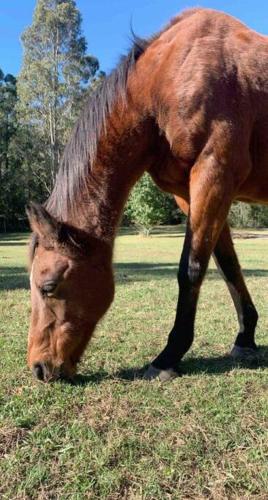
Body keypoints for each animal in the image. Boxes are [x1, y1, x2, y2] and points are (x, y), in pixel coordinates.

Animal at [26, 7, 266, 380]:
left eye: (48, 286)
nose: (39, 368)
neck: (166, 81)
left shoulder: (214, 174)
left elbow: (191, 268)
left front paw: (168, 356)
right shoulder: (191, 192)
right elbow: (228, 265)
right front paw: (245, 338)